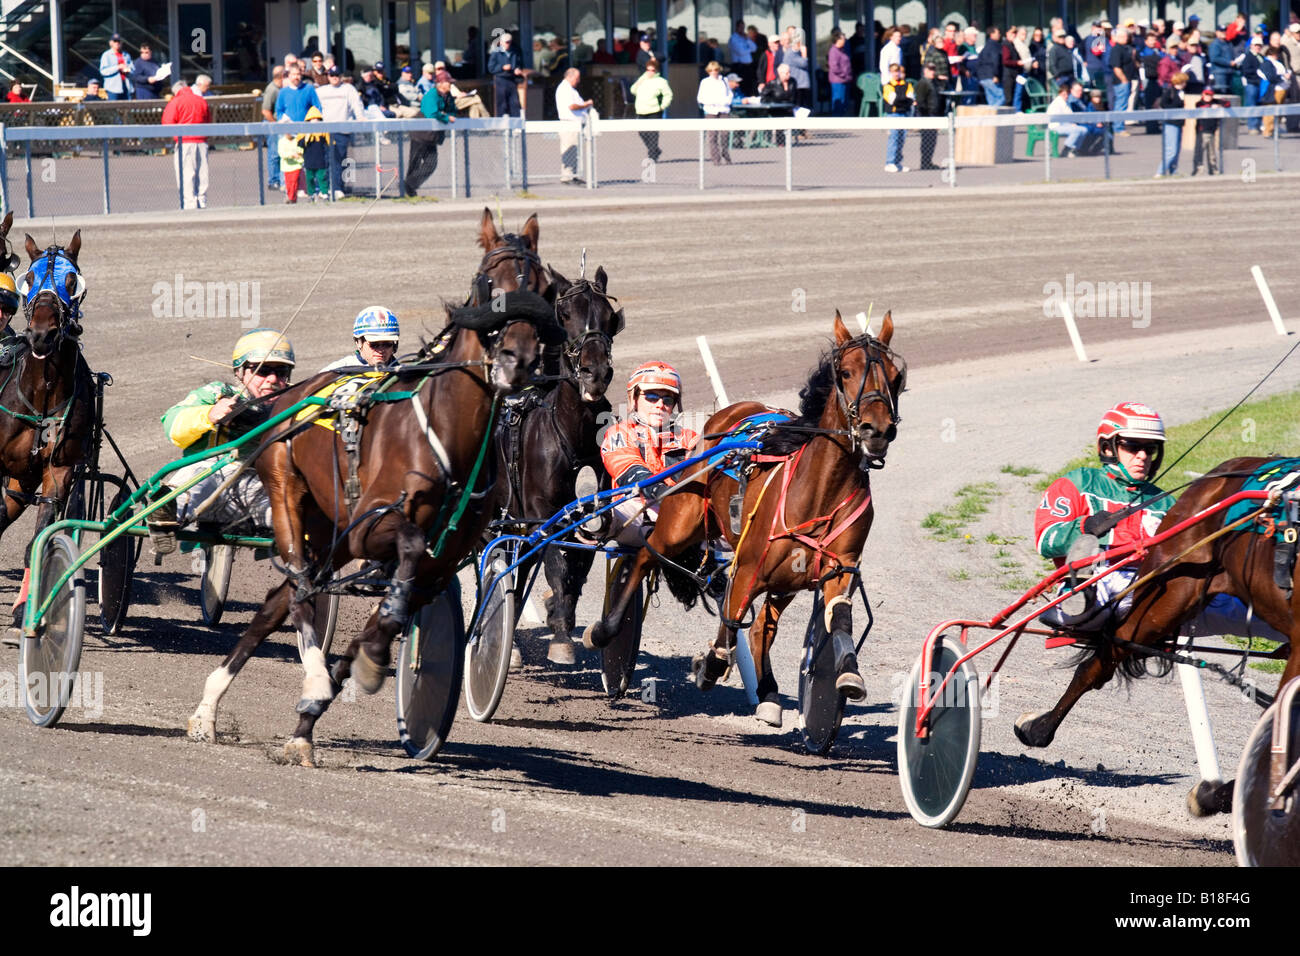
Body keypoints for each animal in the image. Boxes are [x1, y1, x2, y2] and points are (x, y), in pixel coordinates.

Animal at [488, 261, 626, 665]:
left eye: (608, 316)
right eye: (564, 314)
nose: (595, 373)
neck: (571, 433)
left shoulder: (590, 517)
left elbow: (576, 568)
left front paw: (560, 617)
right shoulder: (542, 513)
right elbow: (555, 564)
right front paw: (562, 636)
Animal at [582, 312, 904, 723]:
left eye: (896, 376)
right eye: (846, 372)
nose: (876, 430)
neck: (820, 491)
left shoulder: (838, 568)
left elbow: (837, 619)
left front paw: (847, 675)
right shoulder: (749, 564)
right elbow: (730, 619)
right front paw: (708, 665)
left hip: (784, 579)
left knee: (761, 625)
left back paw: (768, 693)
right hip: (679, 523)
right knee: (642, 557)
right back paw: (605, 630)